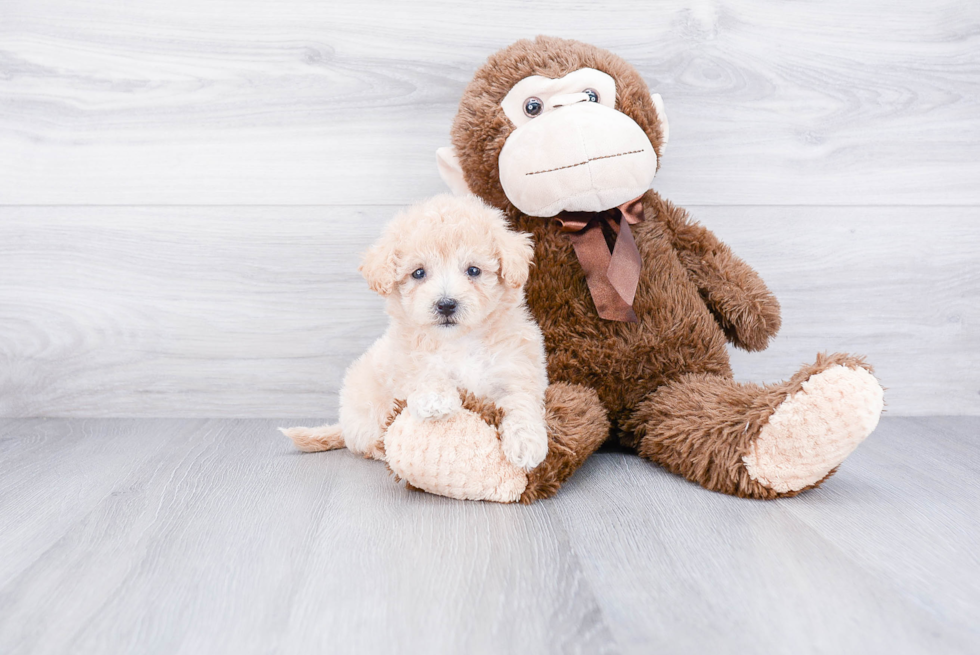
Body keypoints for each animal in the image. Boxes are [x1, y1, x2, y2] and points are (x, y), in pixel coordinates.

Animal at [280, 195, 552, 472]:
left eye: (474, 270)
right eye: (418, 273)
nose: (446, 304)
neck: (459, 341)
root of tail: (344, 425)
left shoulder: (517, 368)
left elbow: (521, 403)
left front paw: (526, 444)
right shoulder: (405, 359)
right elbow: (425, 371)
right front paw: (436, 398)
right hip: (366, 409)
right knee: (366, 442)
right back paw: (381, 451)